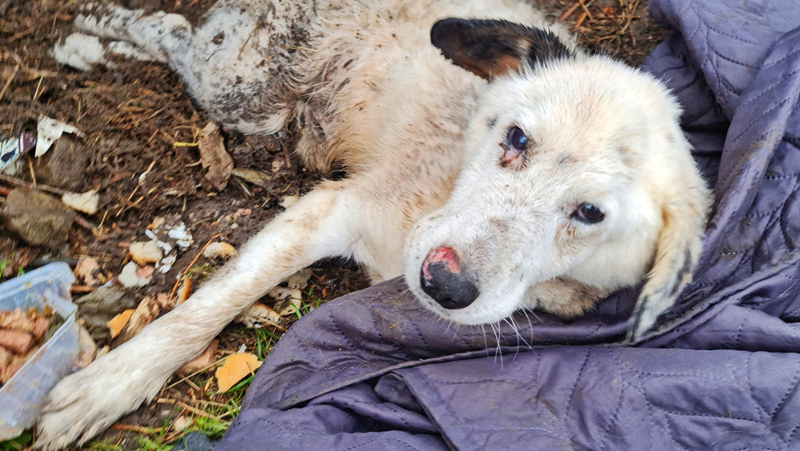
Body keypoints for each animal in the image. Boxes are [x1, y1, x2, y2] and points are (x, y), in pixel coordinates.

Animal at [37, 0, 712, 448]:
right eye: (517, 137)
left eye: (590, 213)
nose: (443, 283)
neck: (441, 184)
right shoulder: (327, 210)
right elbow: (203, 311)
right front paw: (107, 387)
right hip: (240, 91)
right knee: (173, 29)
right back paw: (97, 25)